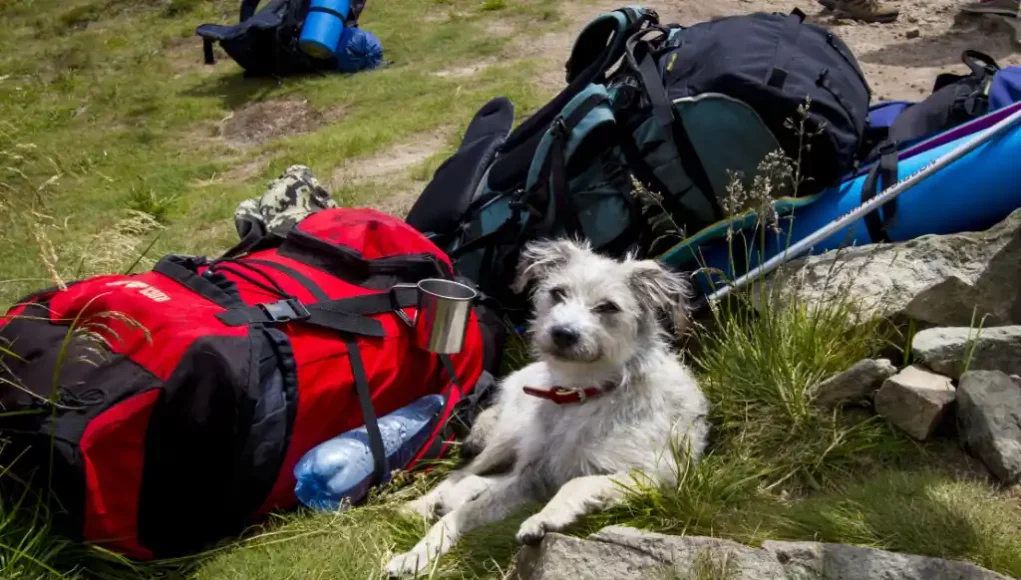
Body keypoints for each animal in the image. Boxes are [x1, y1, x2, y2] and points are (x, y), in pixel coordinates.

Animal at [383, 238, 710, 575]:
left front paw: (544, 517)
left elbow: (578, 482)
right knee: (464, 472)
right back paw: (423, 503)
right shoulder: (532, 477)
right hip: (508, 437)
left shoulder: (657, 477)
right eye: (557, 293)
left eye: (608, 307)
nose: (562, 333)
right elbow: (460, 515)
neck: (581, 394)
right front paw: (416, 554)